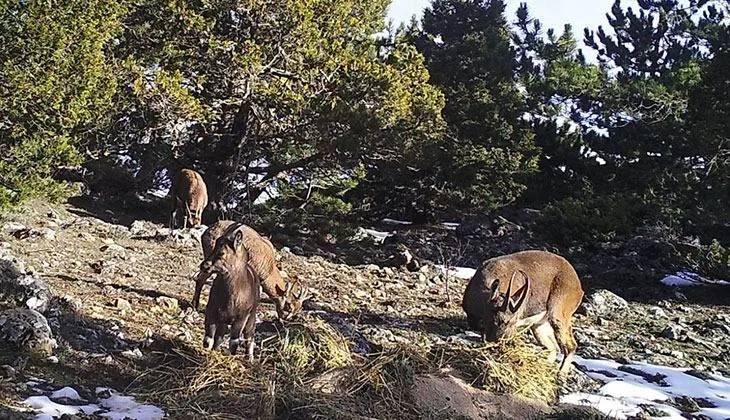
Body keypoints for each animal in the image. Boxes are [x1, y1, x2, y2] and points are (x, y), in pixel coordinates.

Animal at [198, 225, 258, 360]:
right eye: (213, 248)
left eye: (222, 253)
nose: (204, 265)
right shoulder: (212, 311)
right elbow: (209, 339)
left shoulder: (241, 318)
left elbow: (233, 342)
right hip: (224, 321)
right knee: (219, 337)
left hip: (251, 317)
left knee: (249, 336)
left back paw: (249, 358)